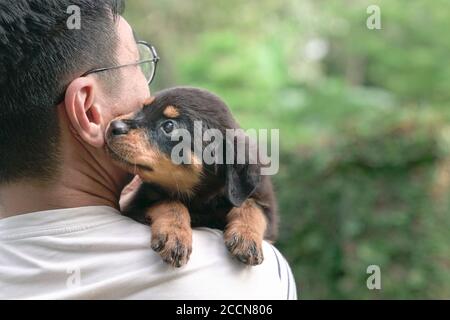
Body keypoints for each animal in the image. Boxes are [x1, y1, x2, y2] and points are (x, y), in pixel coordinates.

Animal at [105, 87, 278, 268]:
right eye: (142, 108)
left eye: (169, 126)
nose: (113, 126)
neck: (202, 197)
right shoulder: (135, 203)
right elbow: (170, 202)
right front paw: (175, 236)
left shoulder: (265, 205)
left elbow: (252, 206)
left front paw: (246, 238)